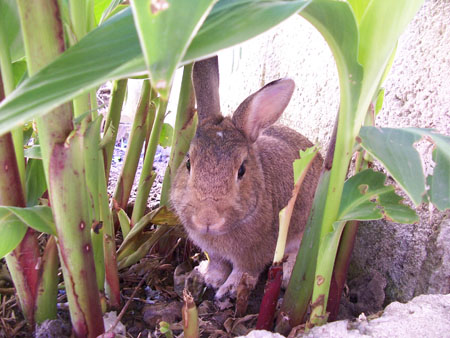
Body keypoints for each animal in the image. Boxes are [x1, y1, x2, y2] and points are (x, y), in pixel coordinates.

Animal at [171, 55, 322, 298]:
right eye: (188, 163)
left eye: (241, 170)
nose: (206, 218)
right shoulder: (214, 252)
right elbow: (218, 264)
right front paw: (210, 278)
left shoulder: (254, 254)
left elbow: (244, 271)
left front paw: (229, 289)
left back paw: (288, 275)